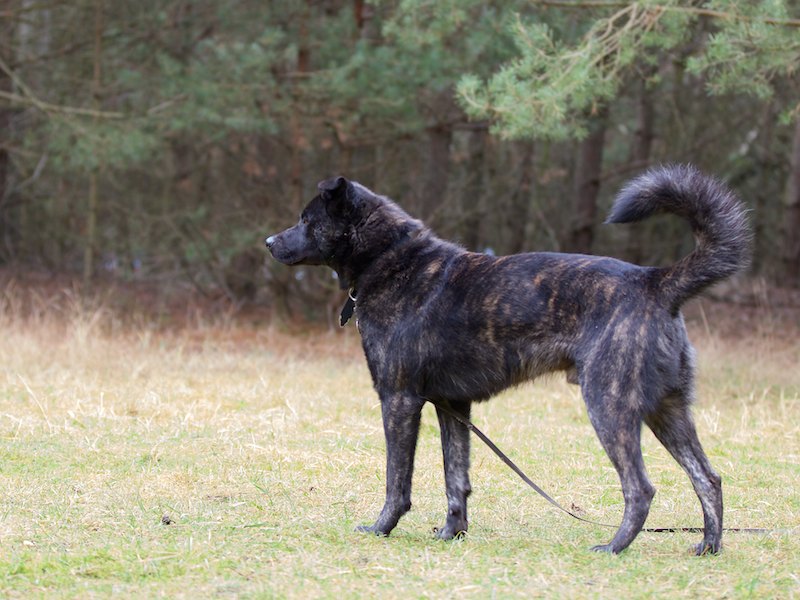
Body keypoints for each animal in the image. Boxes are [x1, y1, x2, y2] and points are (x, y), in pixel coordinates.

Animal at [265, 165, 751, 554]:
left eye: (306, 220)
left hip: (610, 407)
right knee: (708, 479)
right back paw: (709, 546)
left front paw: (382, 528)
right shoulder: (452, 407)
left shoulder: (399, 400)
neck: (390, 260)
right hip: (667, 411)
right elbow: (455, 478)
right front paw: (452, 534)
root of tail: (655, 282)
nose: (269, 242)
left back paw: (614, 547)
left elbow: (396, 480)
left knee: (640, 488)